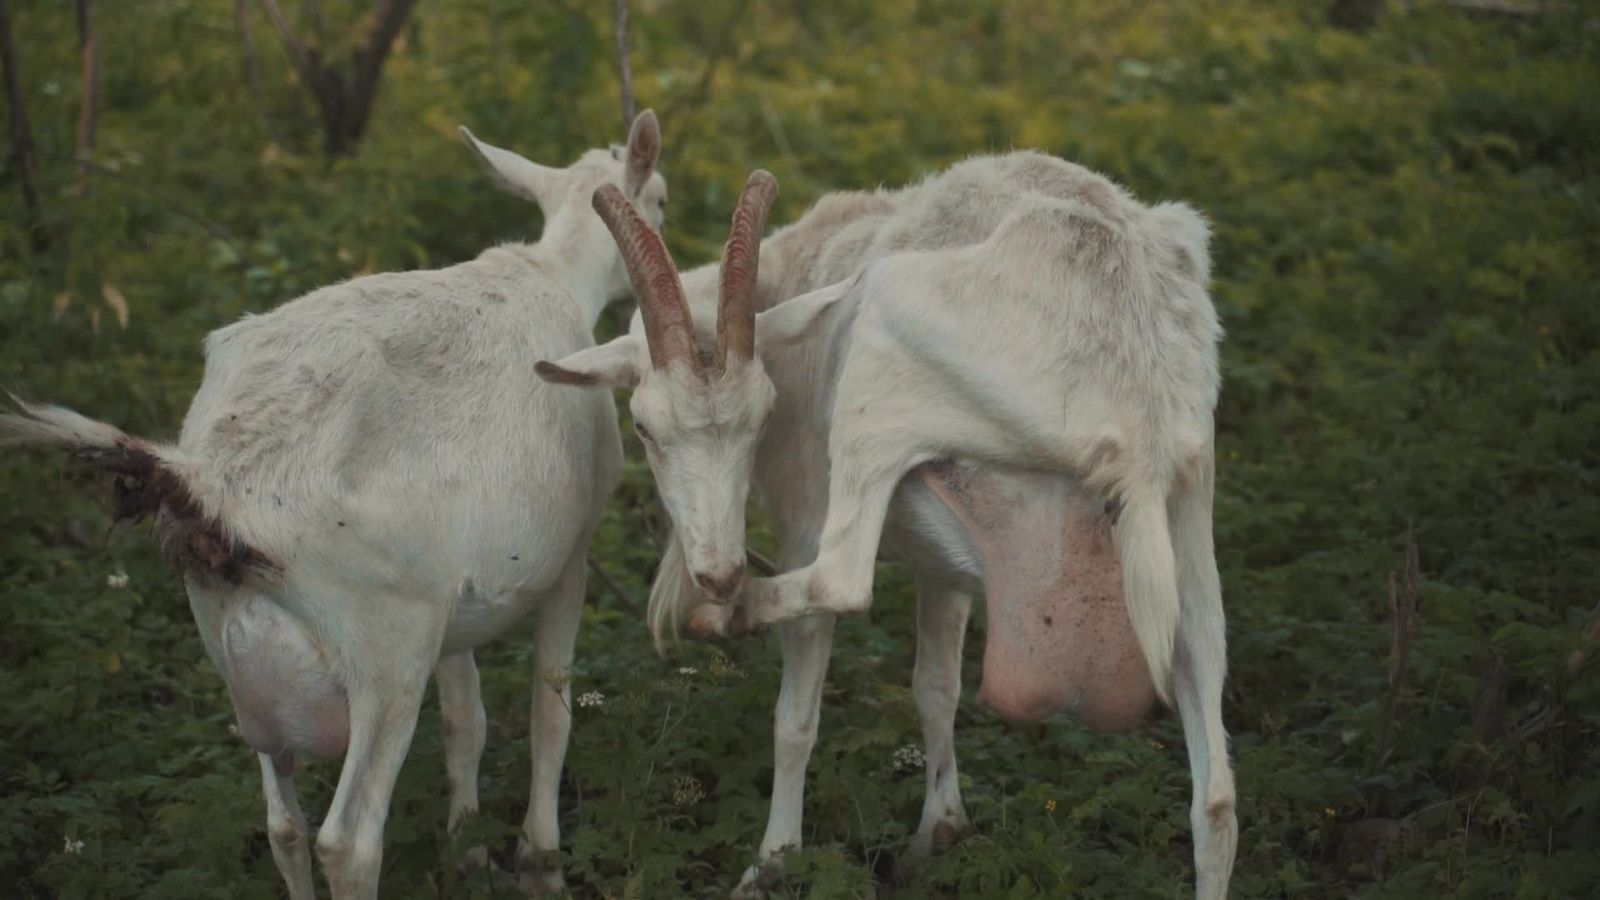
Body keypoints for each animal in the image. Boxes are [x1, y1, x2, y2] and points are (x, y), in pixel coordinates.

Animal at [0, 111, 667, 900]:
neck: (552, 272)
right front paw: (541, 864)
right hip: (386, 640)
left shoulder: (459, 606)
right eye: (660, 198)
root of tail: (212, 483)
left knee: (283, 827)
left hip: (234, 645)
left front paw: (466, 850)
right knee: (347, 840)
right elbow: (549, 713)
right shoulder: (571, 551)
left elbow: (466, 721)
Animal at [539, 154, 1235, 898]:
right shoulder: (949, 564)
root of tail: (1139, 396)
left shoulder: (804, 514)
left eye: (764, 416)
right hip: (1190, 505)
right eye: (645, 427)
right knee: (1216, 792)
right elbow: (937, 686)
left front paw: (772, 860)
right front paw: (939, 832)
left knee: (844, 577)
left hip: (878, 369)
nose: (719, 573)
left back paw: (719, 620)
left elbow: (797, 715)